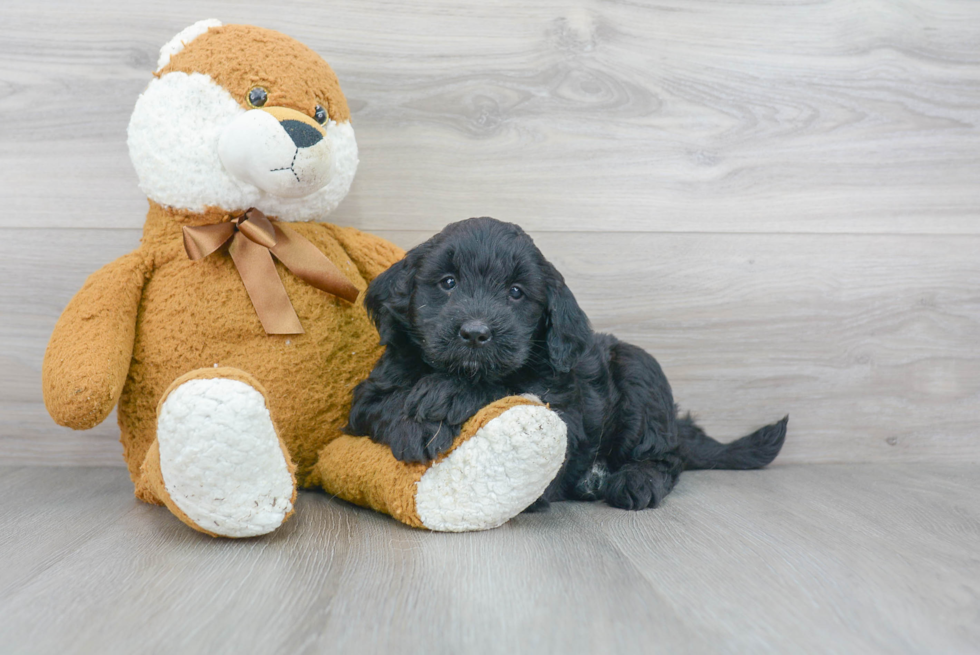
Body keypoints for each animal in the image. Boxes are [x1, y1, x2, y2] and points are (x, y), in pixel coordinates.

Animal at [346, 218, 788, 510]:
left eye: (516, 292)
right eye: (448, 283)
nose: (475, 333)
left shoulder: (564, 407)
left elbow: (509, 387)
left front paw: (446, 396)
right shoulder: (367, 398)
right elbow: (384, 405)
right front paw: (414, 425)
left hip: (638, 367)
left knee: (667, 455)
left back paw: (634, 480)